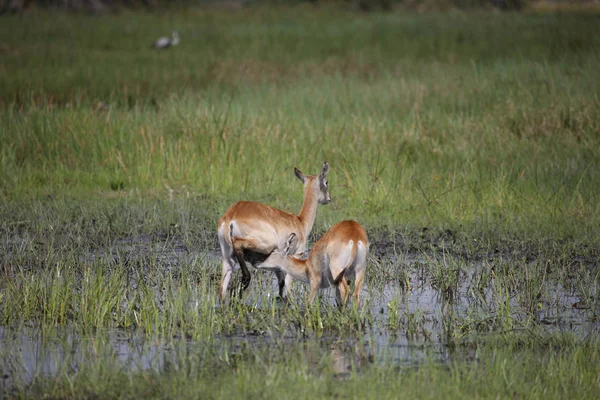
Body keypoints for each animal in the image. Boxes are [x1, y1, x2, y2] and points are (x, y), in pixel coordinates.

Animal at [217, 162, 330, 300]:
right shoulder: (296, 255)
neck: (300, 222)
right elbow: (288, 286)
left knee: (222, 288)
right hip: (264, 245)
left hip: (227, 259)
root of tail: (231, 214)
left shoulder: (279, 266)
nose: (328, 199)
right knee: (238, 244)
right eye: (326, 182)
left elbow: (281, 285)